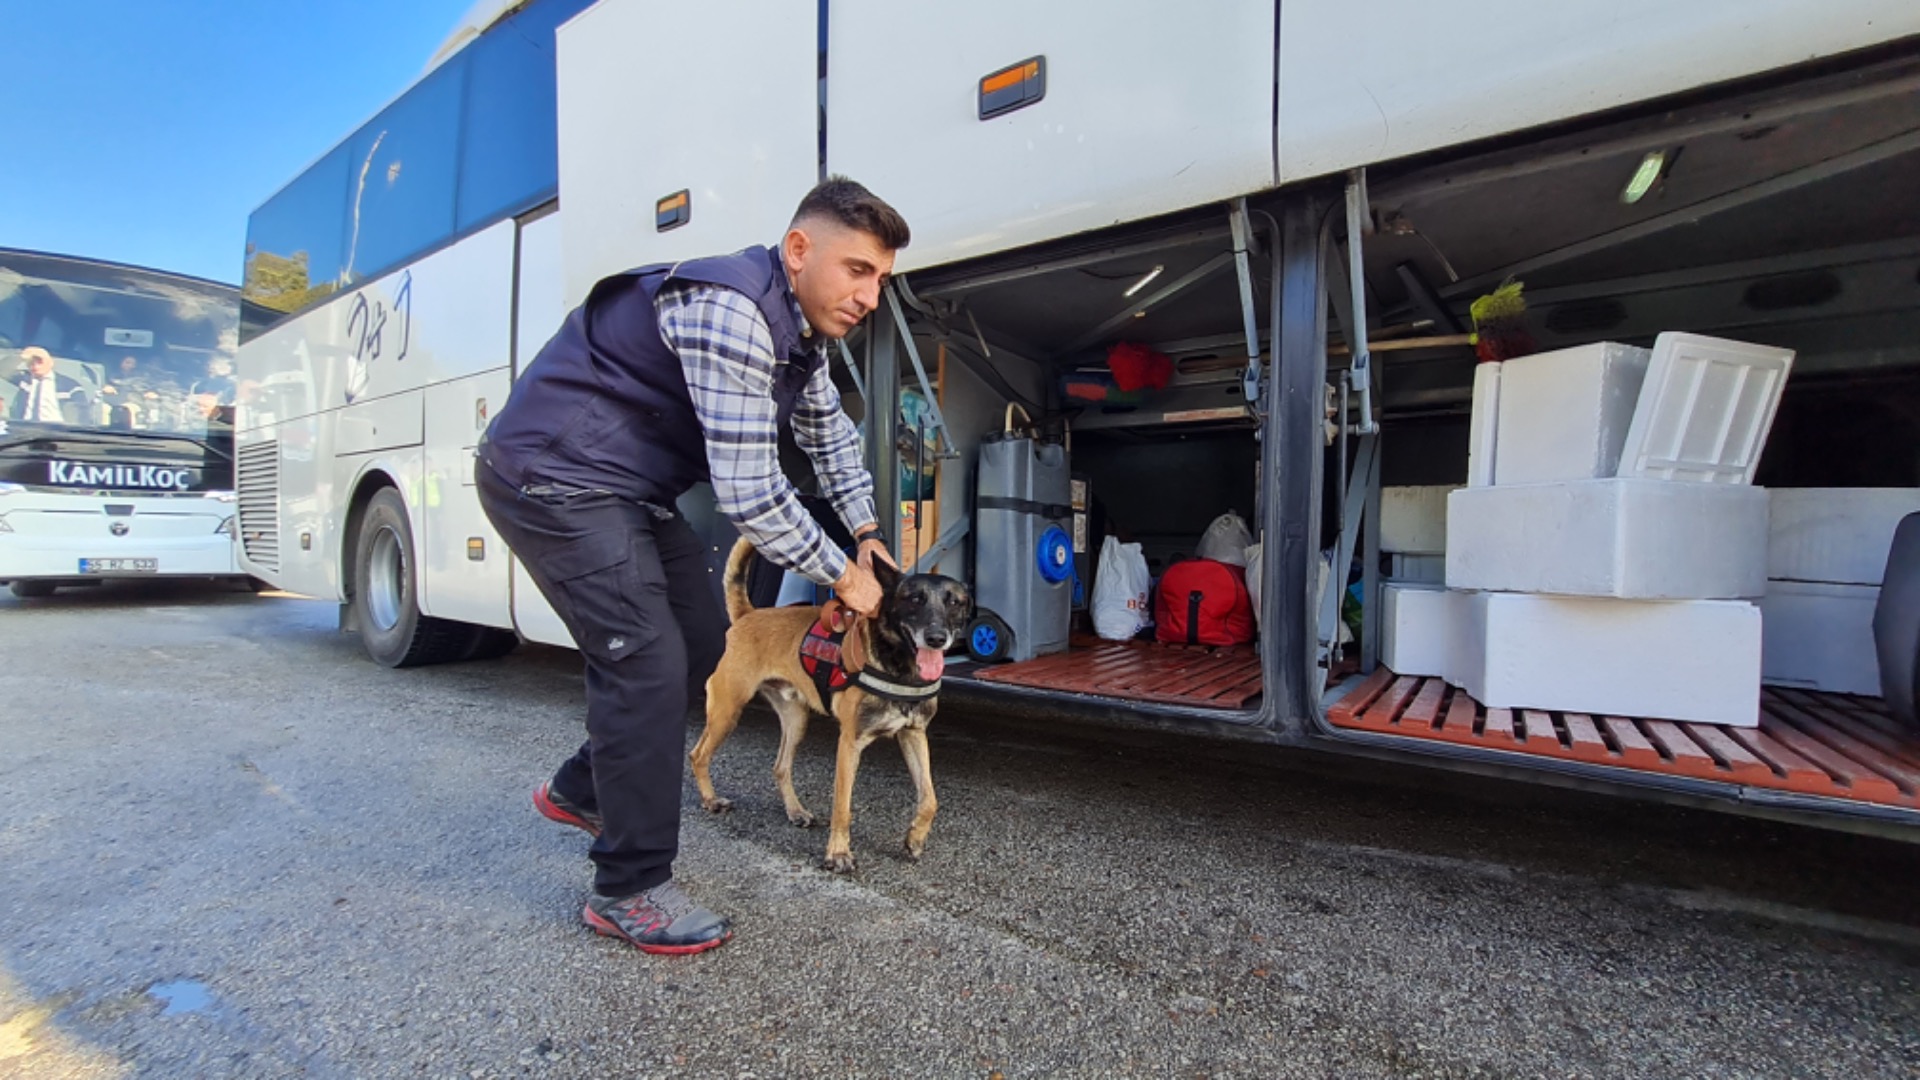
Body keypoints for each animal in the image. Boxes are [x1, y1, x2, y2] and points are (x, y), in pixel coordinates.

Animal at [687, 534, 975, 868]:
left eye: (954, 602)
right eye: (913, 599)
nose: (936, 638)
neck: (899, 666)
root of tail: (749, 613)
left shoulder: (913, 735)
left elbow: (930, 798)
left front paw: (915, 837)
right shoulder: (850, 743)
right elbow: (842, 806)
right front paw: (838, 853)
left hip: (796, 722)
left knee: (780, 767)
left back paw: (796, 811)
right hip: (726, 712)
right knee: (698, 755)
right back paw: (710, 799)